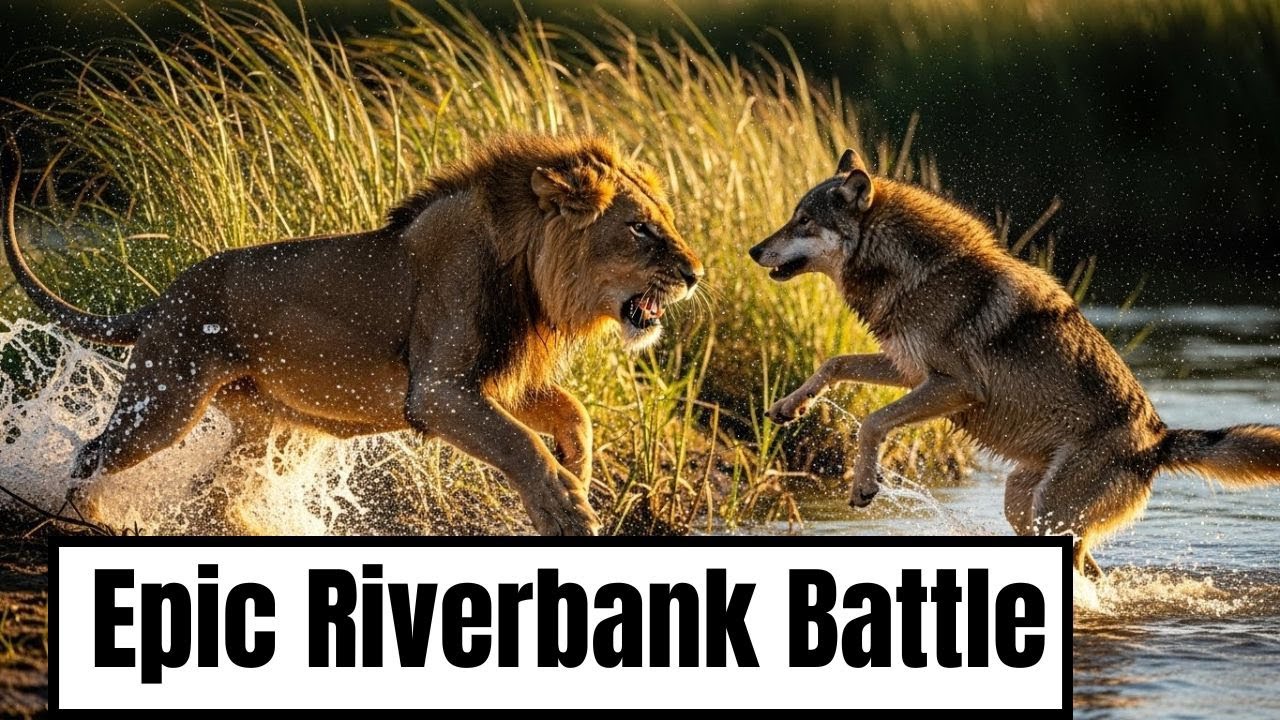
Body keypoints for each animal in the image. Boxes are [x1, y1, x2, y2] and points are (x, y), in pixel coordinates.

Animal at [3, 134, 704, 536]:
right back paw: (87, 516)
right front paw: (568, 511)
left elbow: (572, 413)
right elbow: (521, 443)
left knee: (222, 489)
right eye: (641, 229)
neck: (529, 278)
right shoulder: (440, 391)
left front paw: (577, 476)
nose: (696, 273)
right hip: (166, 401)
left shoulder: (494, 379)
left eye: (664, 221)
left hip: (269, 424)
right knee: (91, 452)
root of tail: (162, 297)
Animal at [750, 148, 1280, 577]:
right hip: (1021, 505)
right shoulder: (908, 369)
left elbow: (873, 422)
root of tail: (1160, 440)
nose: (753, 250)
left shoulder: (955, 386)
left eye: (803, 221)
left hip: (1048, 512)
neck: (915, 272)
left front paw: (864, 485)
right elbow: (833, 363)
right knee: (1095, 570)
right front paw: (788, 407)